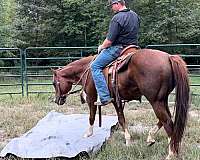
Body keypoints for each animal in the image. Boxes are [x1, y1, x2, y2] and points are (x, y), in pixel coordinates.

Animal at [51, 48, 189, 159]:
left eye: (53, 83)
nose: (57, 100)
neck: (87, 70)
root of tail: (169, 57)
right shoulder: (116, 99)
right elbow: (121, 118)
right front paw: (128, 141)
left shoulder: (91, 97)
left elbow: (92, 116)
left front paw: (88, 134)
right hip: (162, 99)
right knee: (166, 118)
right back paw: (151, 138)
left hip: (155, 101)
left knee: (168, 122)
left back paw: (171, 154)